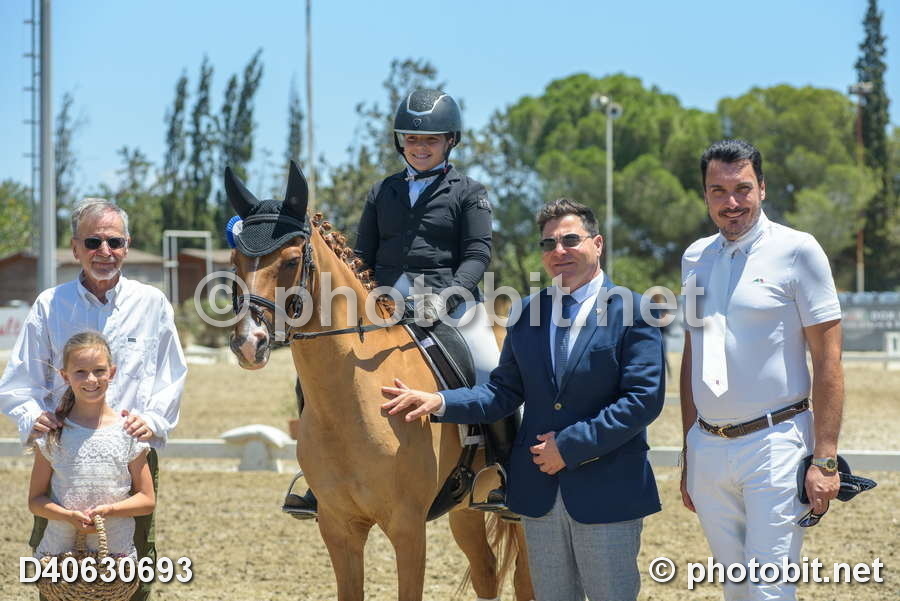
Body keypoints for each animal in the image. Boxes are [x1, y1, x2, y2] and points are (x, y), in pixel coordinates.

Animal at [225, 162, 534, 601]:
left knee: (525, 578)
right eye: (236, 259)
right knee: (486, 572)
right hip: (464, 508)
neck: (353, 398)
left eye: (289, 260)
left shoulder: (408, 528)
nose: (249, 343)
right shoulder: (338, 529)